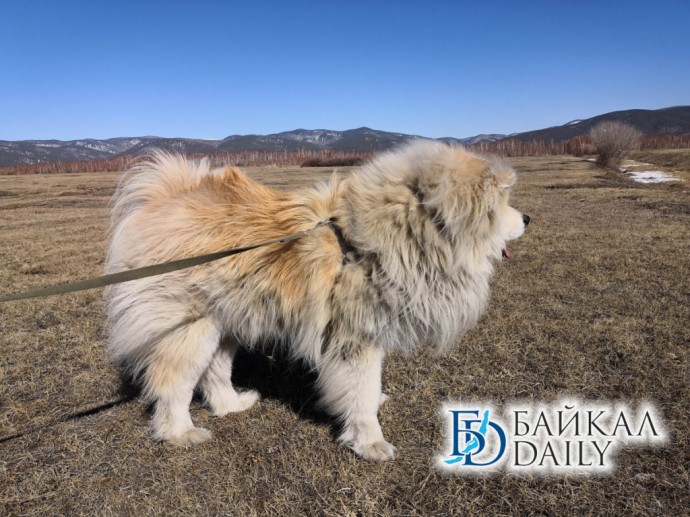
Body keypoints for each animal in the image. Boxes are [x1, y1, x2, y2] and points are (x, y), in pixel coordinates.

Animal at [106, 140, 528, 460]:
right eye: (501, 204)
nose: (527, 218)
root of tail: (166, 195)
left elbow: (364, 389)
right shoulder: (355, 340)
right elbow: (361, 392)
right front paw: (370, 442)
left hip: (226, 322)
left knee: (215, 373)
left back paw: (233, 405)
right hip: (191, 329)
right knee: (172, 384)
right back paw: (180, 433)